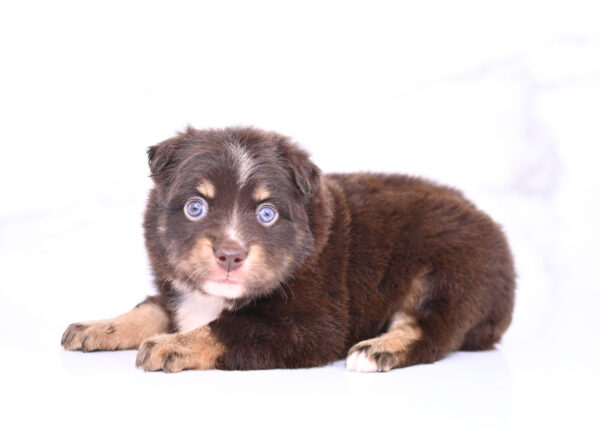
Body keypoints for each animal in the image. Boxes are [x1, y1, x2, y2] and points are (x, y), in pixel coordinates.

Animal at [62, 125, 516, 372]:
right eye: (196, 207)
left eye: (267, 214)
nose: (230, 255)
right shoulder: (176, 288)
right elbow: (151, 309)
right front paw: (97, 326)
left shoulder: (314, 326)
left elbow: (231, 328)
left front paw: (172, 345)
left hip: (449, 274)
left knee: (430, 330)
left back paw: (376, 349)